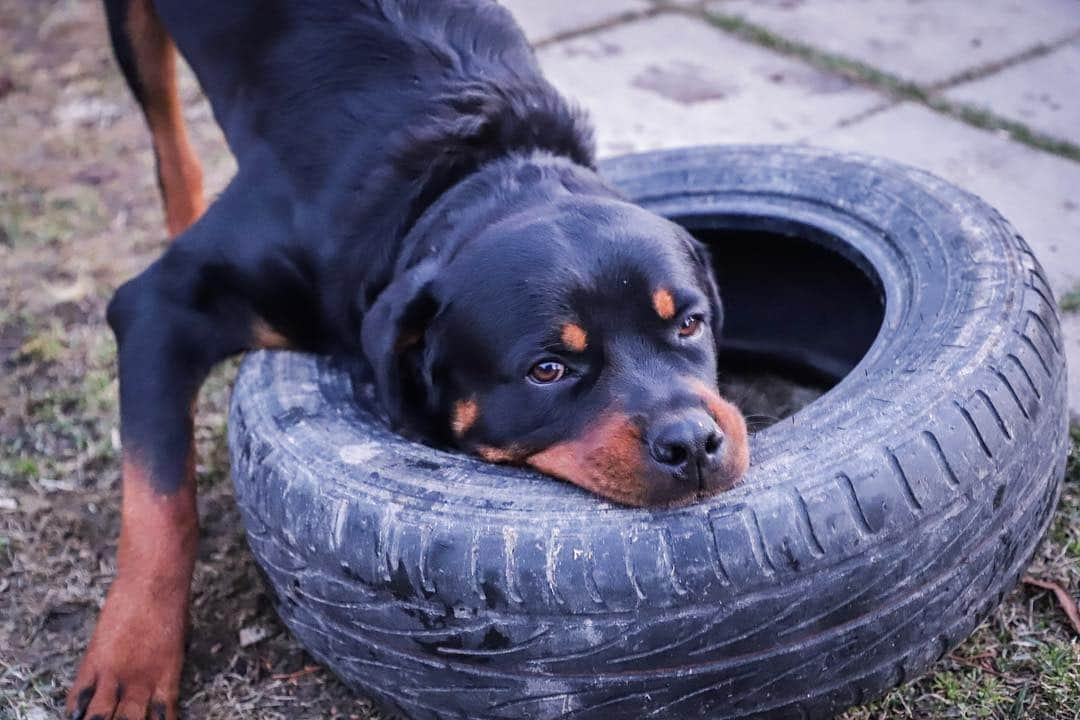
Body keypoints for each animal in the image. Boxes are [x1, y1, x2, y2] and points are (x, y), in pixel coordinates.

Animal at [71, 2, 751, 716]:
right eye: (548, 370)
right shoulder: (159, 307)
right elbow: (159, 502)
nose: (691, 443)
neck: (460, 175)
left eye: (689, 324)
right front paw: (131, 660)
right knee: (164, 125)